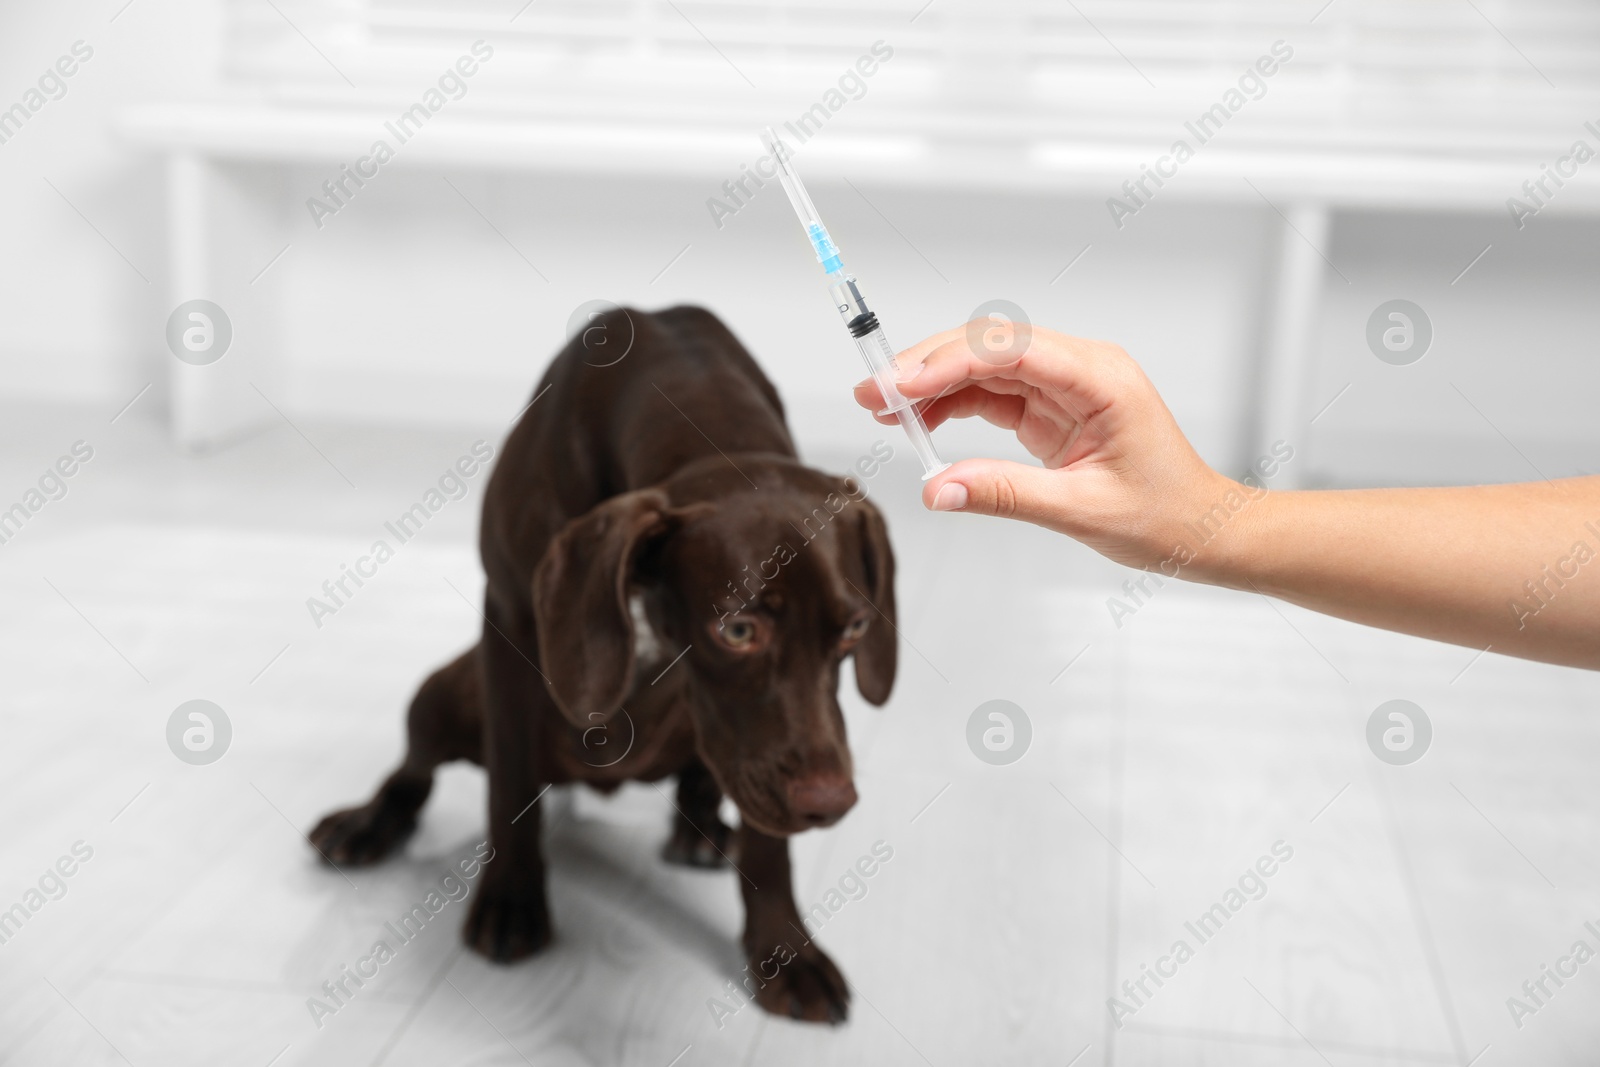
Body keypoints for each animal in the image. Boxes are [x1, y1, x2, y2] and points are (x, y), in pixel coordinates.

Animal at [305, 303, 896, 1023]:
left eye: (855, 628)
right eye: (738, 629)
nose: (832, 803)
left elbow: (768, 840)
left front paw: (786, 950)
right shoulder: (509, 621)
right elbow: (509, 789)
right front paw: (511, 900)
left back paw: (701, 829)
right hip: (447, 692)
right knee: (415, 770)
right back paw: (367, 824)